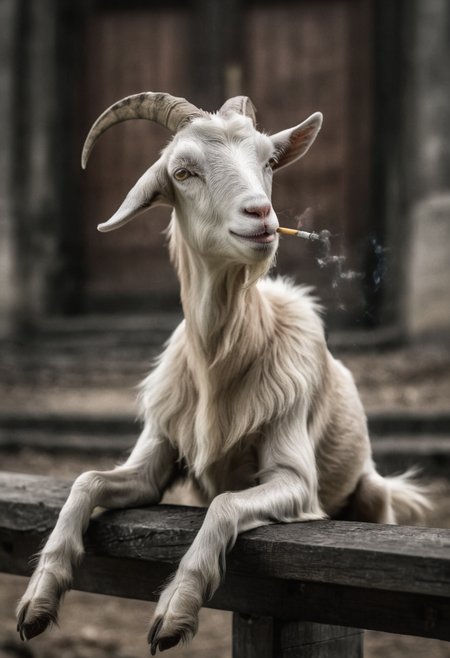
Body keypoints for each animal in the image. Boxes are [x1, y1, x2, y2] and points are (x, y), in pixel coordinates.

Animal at [16, 93, 431, 654]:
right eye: (183, 171)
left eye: (270, 161)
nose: (260, 213)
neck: (219, 365)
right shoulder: (154, 456)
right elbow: (85, 481)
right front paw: (38, 600)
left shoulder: (295, 479)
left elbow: (226, 504)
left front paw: (175, 612)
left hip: (371, 494)